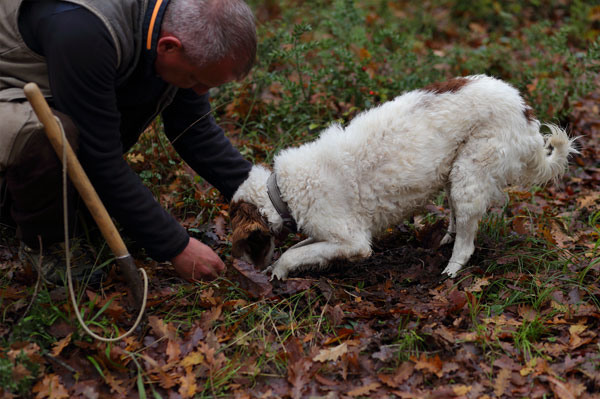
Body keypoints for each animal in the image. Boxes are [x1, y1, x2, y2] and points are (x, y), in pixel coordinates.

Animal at [230, 76, 576, 282]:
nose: (247, 272)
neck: (283, 191)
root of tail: (524, 111)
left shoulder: (353, 241)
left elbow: (295, 252)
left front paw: (278, 270)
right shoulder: (330, 236)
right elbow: (305, 246)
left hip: (470, 172)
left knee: (467, 243)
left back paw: (451, 269)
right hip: (453, 172)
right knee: (456, 217)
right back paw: (446, 237)